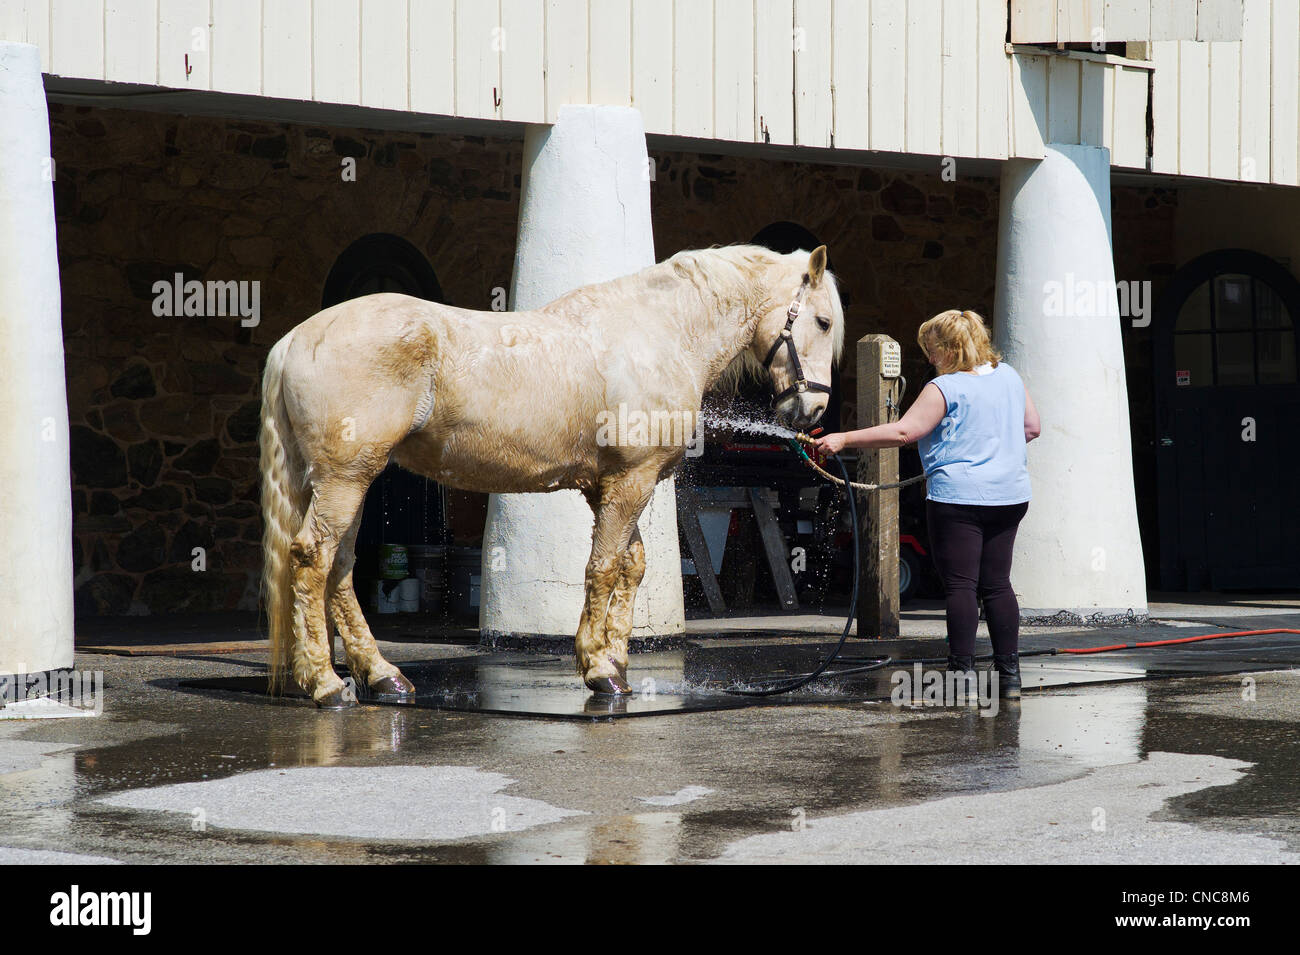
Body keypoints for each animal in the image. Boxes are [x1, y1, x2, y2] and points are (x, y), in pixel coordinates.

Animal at [259, 244, 844, 706]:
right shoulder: (630, 482)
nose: (811, 412)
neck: (658, 334)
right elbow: (603, 569)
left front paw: (618, 662)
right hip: (345, 480)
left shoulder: (610, 487)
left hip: (345, 481)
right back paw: (326, 685)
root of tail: (294, 341)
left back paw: (382, 678)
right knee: (314, 559)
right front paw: (599, 669)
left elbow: (632, 567)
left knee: (339, 567)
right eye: (822, 321)